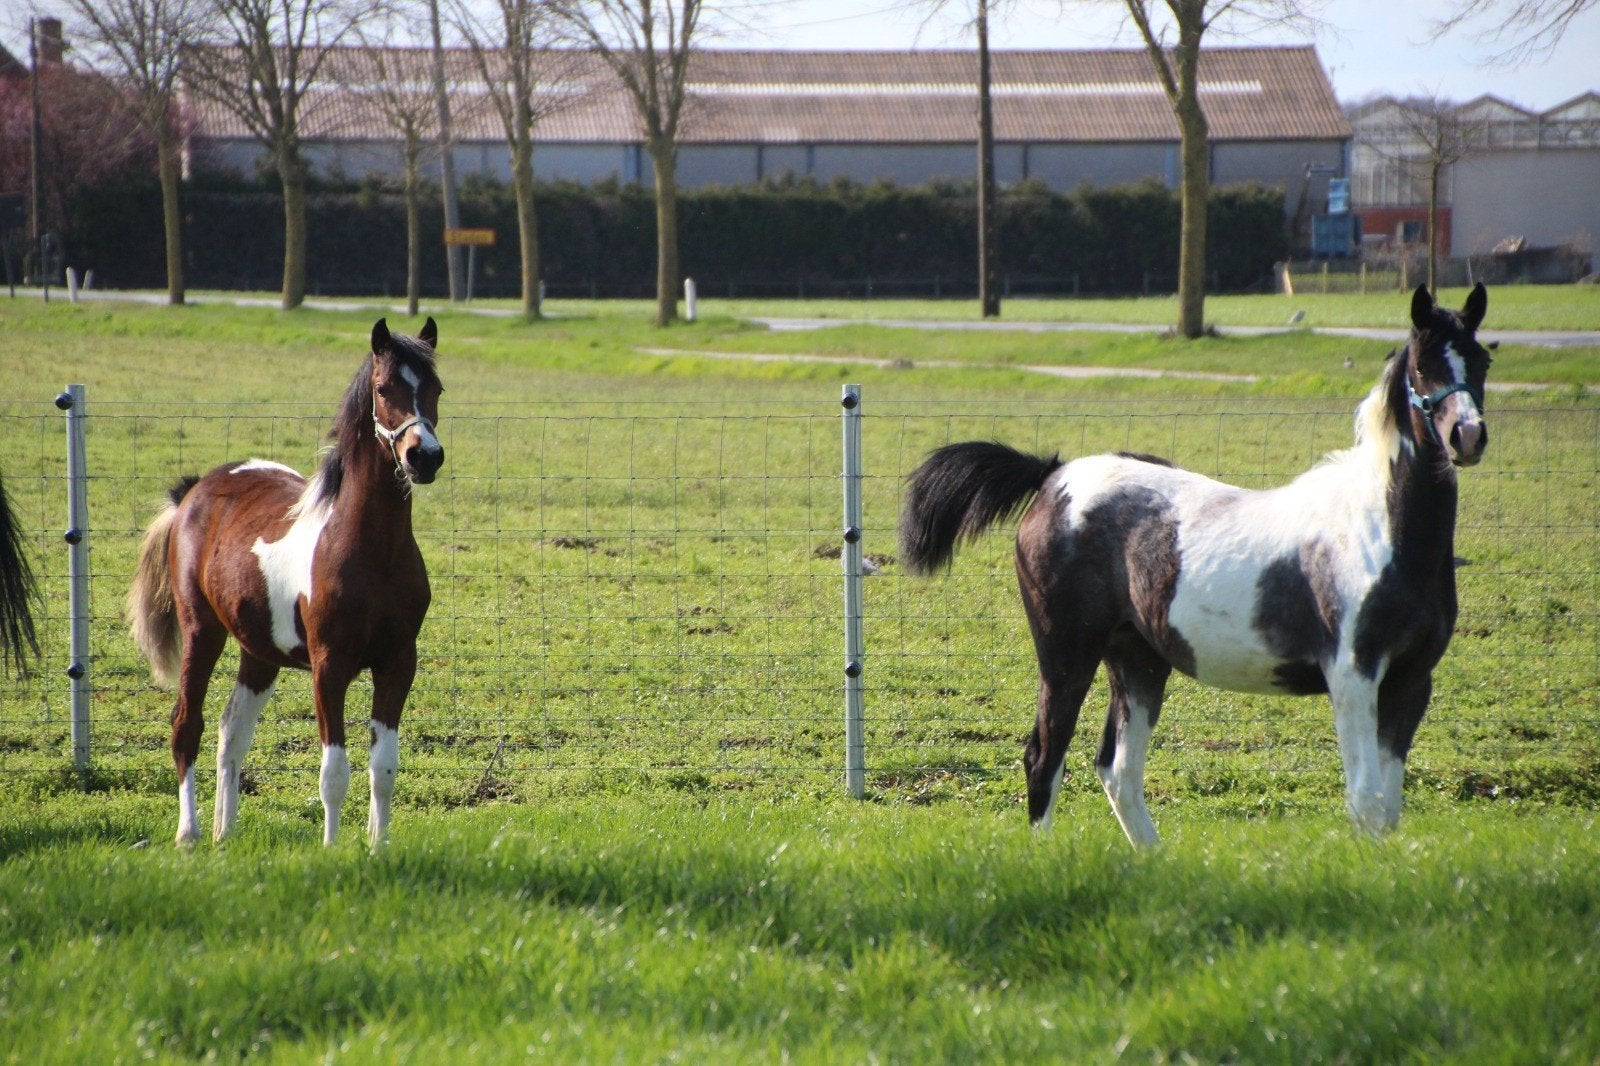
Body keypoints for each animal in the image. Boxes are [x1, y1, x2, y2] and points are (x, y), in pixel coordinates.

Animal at [127, 318, 445, 848]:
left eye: (436, 388)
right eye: (383, 388)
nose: (425, 457)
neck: (371, 551)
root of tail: (193, 492)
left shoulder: (398, 663)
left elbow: (384, 768)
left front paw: (378, 848)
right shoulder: (329, 667)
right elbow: (334, 771)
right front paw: (333, 850)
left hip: (258, 652)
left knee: (232, 730)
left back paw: (225, 833)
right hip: (201, 631)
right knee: (186, 725)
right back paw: (190, 834)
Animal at [900, 285, 1493, 847]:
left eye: (1482, 359)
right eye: (1423, 366)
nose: (1467, 436)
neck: (1379, 530)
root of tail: (1054, 477)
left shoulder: (1411, 682)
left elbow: (1388, 807)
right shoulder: (1353, 675)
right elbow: (1366, 800)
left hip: (1136, 661)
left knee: (1117, 769)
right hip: (1066, 652)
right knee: (1044, 756)